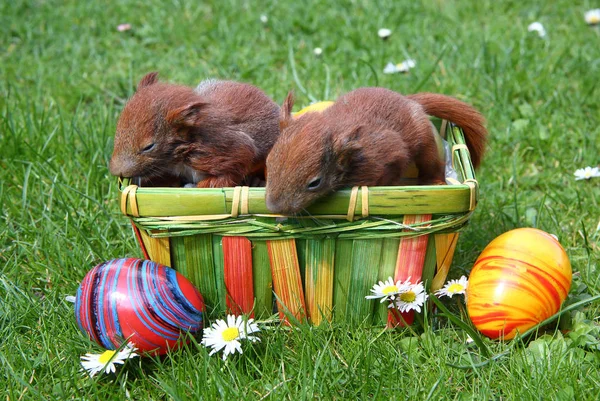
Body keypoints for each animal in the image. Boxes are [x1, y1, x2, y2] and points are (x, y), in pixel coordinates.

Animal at [264, 86, 486, 214]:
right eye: (268, 164)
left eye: (315, 183)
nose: (274, 209)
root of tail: (409, 100)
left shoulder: (387, 153)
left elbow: (392, 170)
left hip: (424, 140)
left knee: (430, 161)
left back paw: (435, 181)